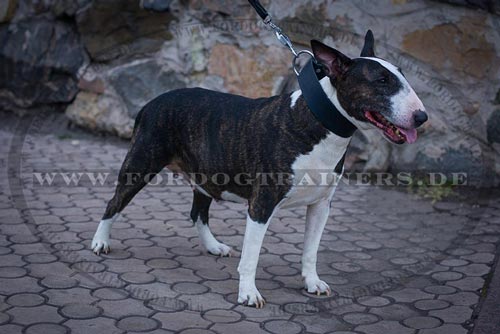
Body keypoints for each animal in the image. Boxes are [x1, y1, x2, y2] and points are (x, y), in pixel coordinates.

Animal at [91, 31, 426, 308]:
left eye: (401, 76)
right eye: (381, 81)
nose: (421, 117)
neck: (319, 122)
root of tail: (152, 102)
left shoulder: (321, 204)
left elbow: (311, 249)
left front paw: (312, 283)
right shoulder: (261, 204)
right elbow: (251, 256)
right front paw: (249, 294)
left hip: (205, 174)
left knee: (198, 212)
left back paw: (213, 246)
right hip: (140, 164)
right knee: (113, 203)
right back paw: (100, 242)